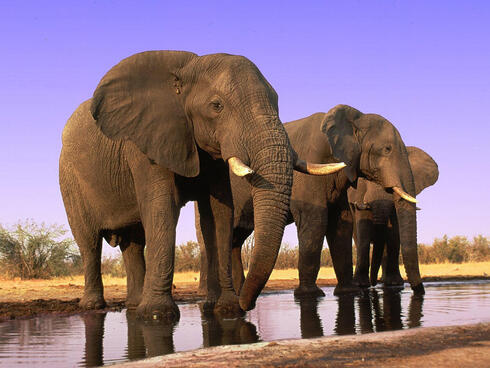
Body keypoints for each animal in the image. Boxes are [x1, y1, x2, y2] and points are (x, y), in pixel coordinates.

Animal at [59, 50, 340, 320]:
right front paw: (157, 315)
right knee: (89, 242)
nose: (247, 305)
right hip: (69, 181)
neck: (187, 69)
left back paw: (134, 305)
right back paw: (95, 306)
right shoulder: (145, 142)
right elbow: (161, 209)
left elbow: (219, 213)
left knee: (134, 243)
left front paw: (226, 309)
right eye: (217, 106)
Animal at [198, 104, 424, 300]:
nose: (418, 290)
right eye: (387, 149)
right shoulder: (310, 165)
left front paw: (348, 293)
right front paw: (310, 295)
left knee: (236, 239)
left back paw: (238, 292)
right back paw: (209, 294)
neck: (355, 117)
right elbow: (315, 219)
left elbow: (342, 223)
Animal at [346, 147, 438, 288]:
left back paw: (385, 281)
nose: (373, 283)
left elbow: (394, 234)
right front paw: (360, 284)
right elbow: (364, 232)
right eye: (366, 179)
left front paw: (395, 283)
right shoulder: (359, 197)